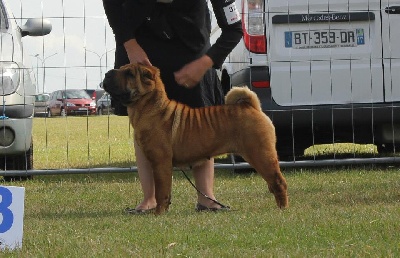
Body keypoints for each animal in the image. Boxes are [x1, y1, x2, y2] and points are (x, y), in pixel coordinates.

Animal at [103, 63, 288, 215]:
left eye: (129, 74)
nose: (107, 73)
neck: (149, 107)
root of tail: (250, 106)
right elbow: (164, 191)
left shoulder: (161, 162)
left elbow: (161, 191)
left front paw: (158, 214)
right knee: (273, 183)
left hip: (261, 154)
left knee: (279, 182)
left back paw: (283, 209)